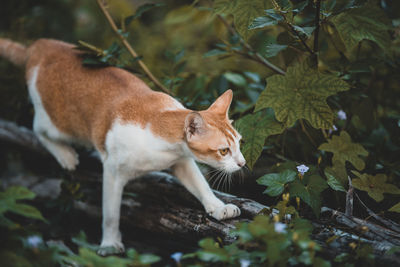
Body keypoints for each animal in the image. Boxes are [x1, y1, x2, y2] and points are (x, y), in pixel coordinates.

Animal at [0, 38, 244, 256]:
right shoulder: (112, 171)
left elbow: (201, 185)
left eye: (240, 143)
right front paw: (109, 243)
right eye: (224, 151)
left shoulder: (182, 161)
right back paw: (66, 155)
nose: (243, 163)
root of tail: (40, 45)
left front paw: (218, 207)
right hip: (58, 123)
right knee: (37, 128)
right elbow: (110, 214)